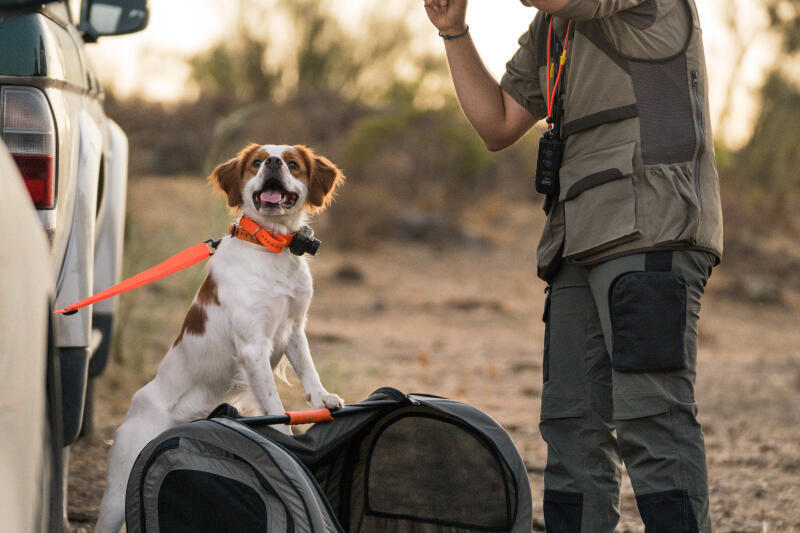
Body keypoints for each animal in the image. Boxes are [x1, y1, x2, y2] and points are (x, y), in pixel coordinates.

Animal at [95, 144, 346, 532]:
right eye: (256, 162)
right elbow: (274, 404)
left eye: (292, 164)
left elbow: (308, 368)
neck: (271, 247)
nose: (273, 162)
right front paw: (286, 438)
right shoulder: (253, 347)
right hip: (116, 493)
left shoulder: (293, 326)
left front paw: (322, 398)